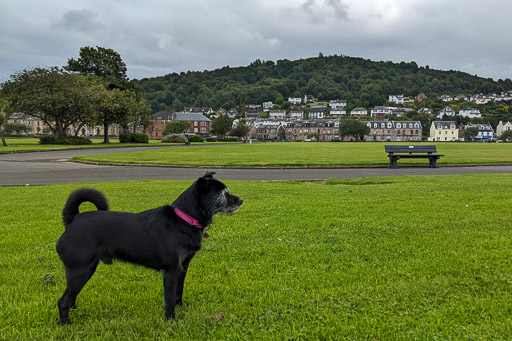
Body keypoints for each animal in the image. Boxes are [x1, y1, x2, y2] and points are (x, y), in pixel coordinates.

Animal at [55, 171, 243, 322]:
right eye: (223, 194)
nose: (241, 200)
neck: (183, 219)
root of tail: (73, 220)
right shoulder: (171, 271)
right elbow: (169, 299)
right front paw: (171, 321)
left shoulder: (182, 268)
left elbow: (178, 292)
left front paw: (181, 309)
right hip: (81, 271)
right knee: (62, 301)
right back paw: (67, 323)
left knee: (70, 296)